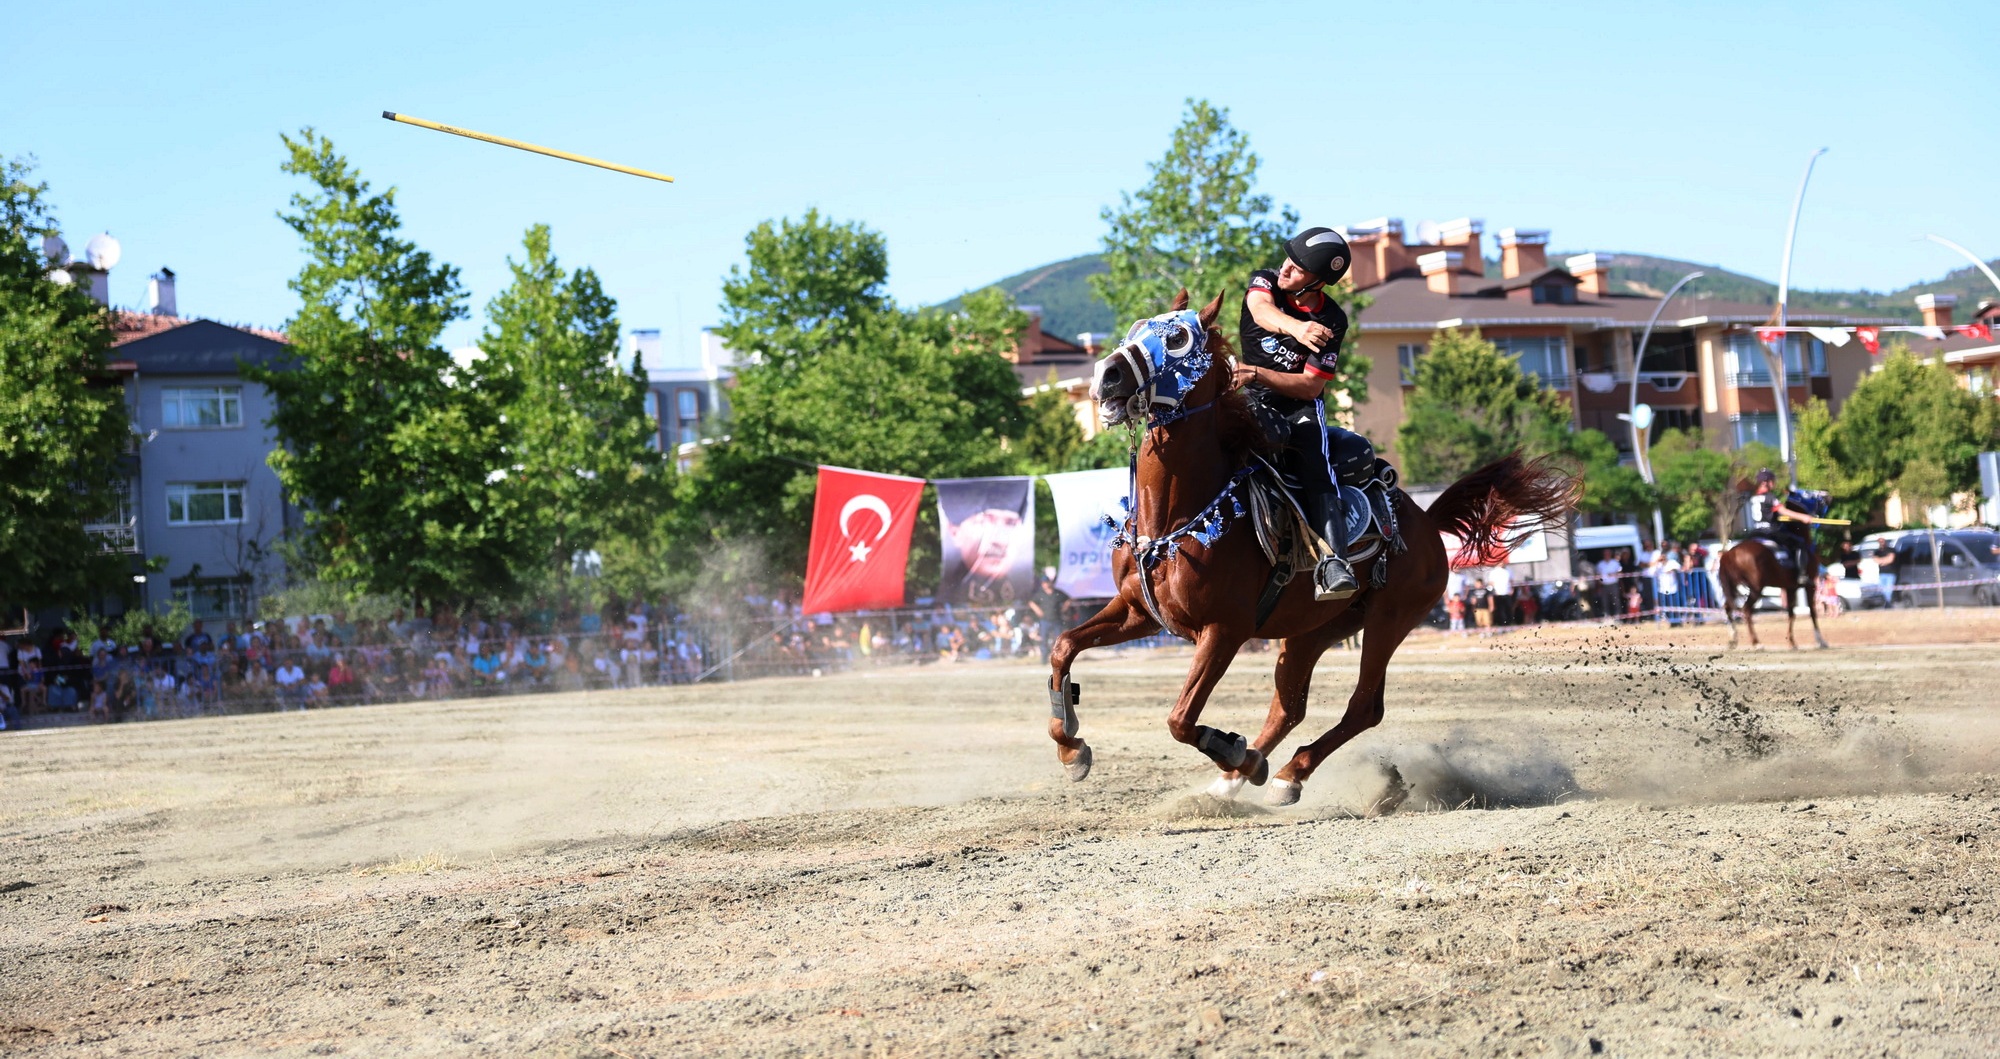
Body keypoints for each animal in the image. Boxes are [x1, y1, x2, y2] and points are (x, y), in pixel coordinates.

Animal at [1048, 287, 1576, 799]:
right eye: (1136, 328)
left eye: (1178, 337)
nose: (1107, 375)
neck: (1178, 517)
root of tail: (1426, 521)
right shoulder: (1139, 611)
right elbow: (1063, 646)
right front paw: (1070, 746)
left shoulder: (1224, 630)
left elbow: (1180, 718)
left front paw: (1232, 749)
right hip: (1313, 630)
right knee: (1289, 706)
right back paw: (1236, 780)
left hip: (1389, 619)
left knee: (1363, 708)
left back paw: (1284, 774)